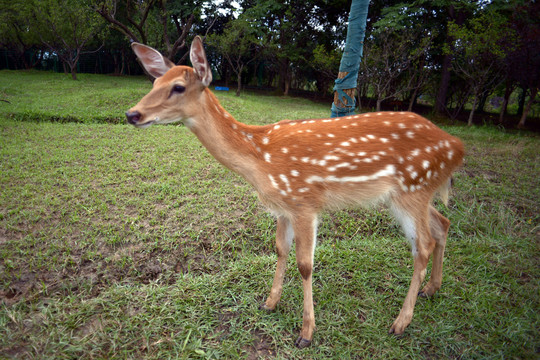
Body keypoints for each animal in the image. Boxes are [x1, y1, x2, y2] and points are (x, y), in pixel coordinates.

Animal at [125, 36, 464, 348]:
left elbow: (305, 265)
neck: (260, 160)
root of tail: (457, 147)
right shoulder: (282, 206)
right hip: (411, 193)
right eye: (155, 81)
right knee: (442, 225)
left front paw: (306, 333)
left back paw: (400, 322)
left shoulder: (304, 203)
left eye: (178, 87)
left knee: (423, 245)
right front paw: (269, 303)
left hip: (413, 189)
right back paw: (432, 288)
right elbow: (280, 249)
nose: (132, 114)